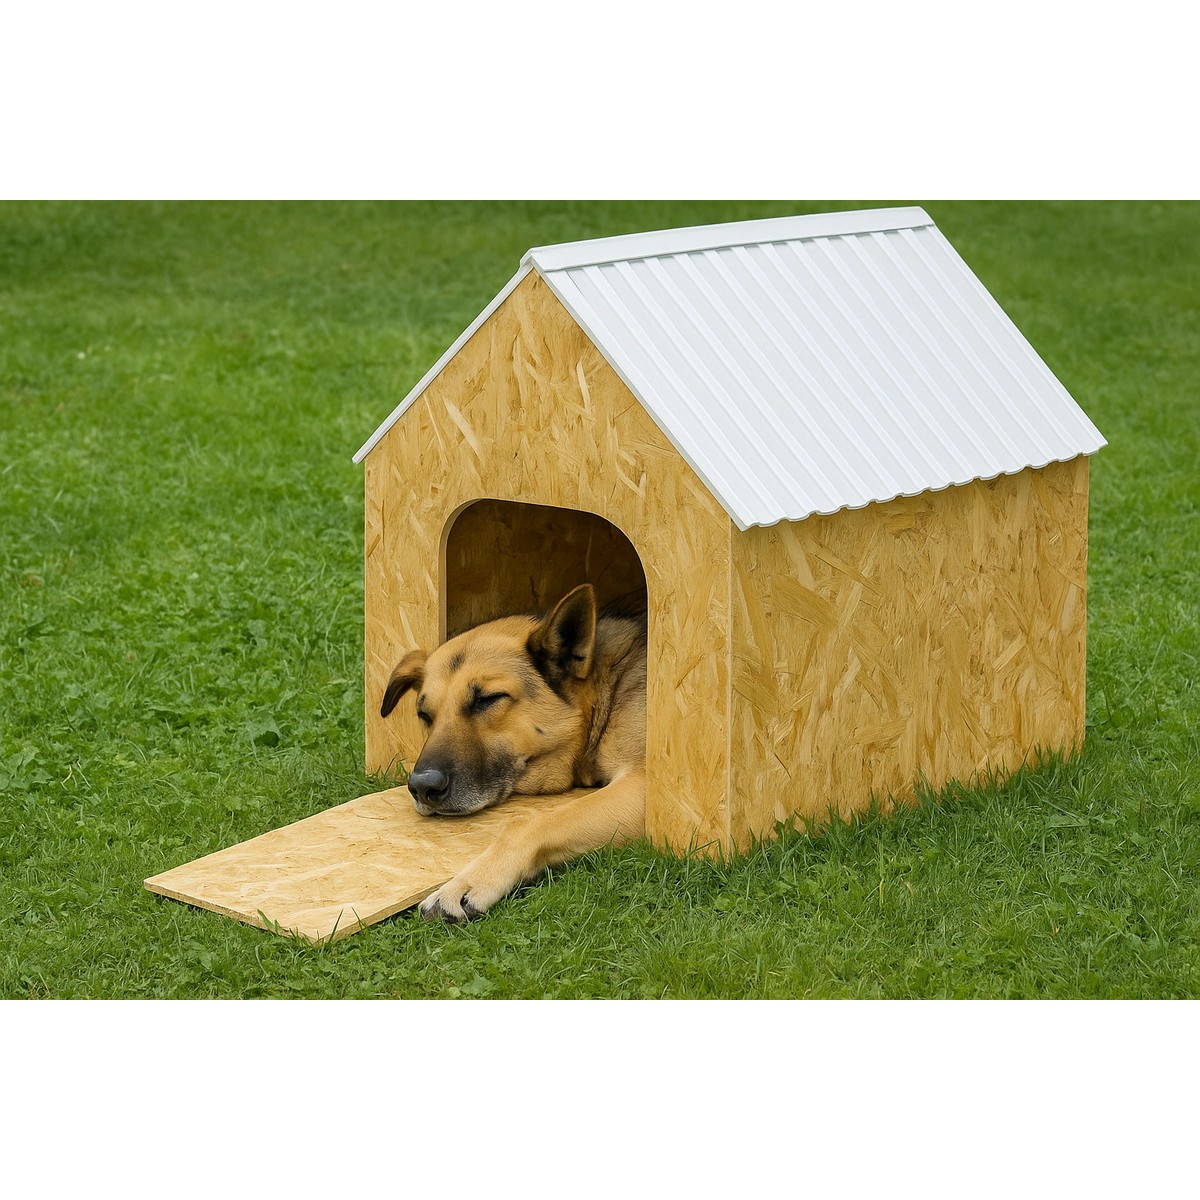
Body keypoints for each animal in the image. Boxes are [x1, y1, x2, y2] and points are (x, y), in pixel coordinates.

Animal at [379, 583, 647, 921]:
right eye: (424, 714)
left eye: (487, 699)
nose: (423, 787)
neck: (607, 692)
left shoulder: (644, 786)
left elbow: (530, 825)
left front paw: (467, 883)